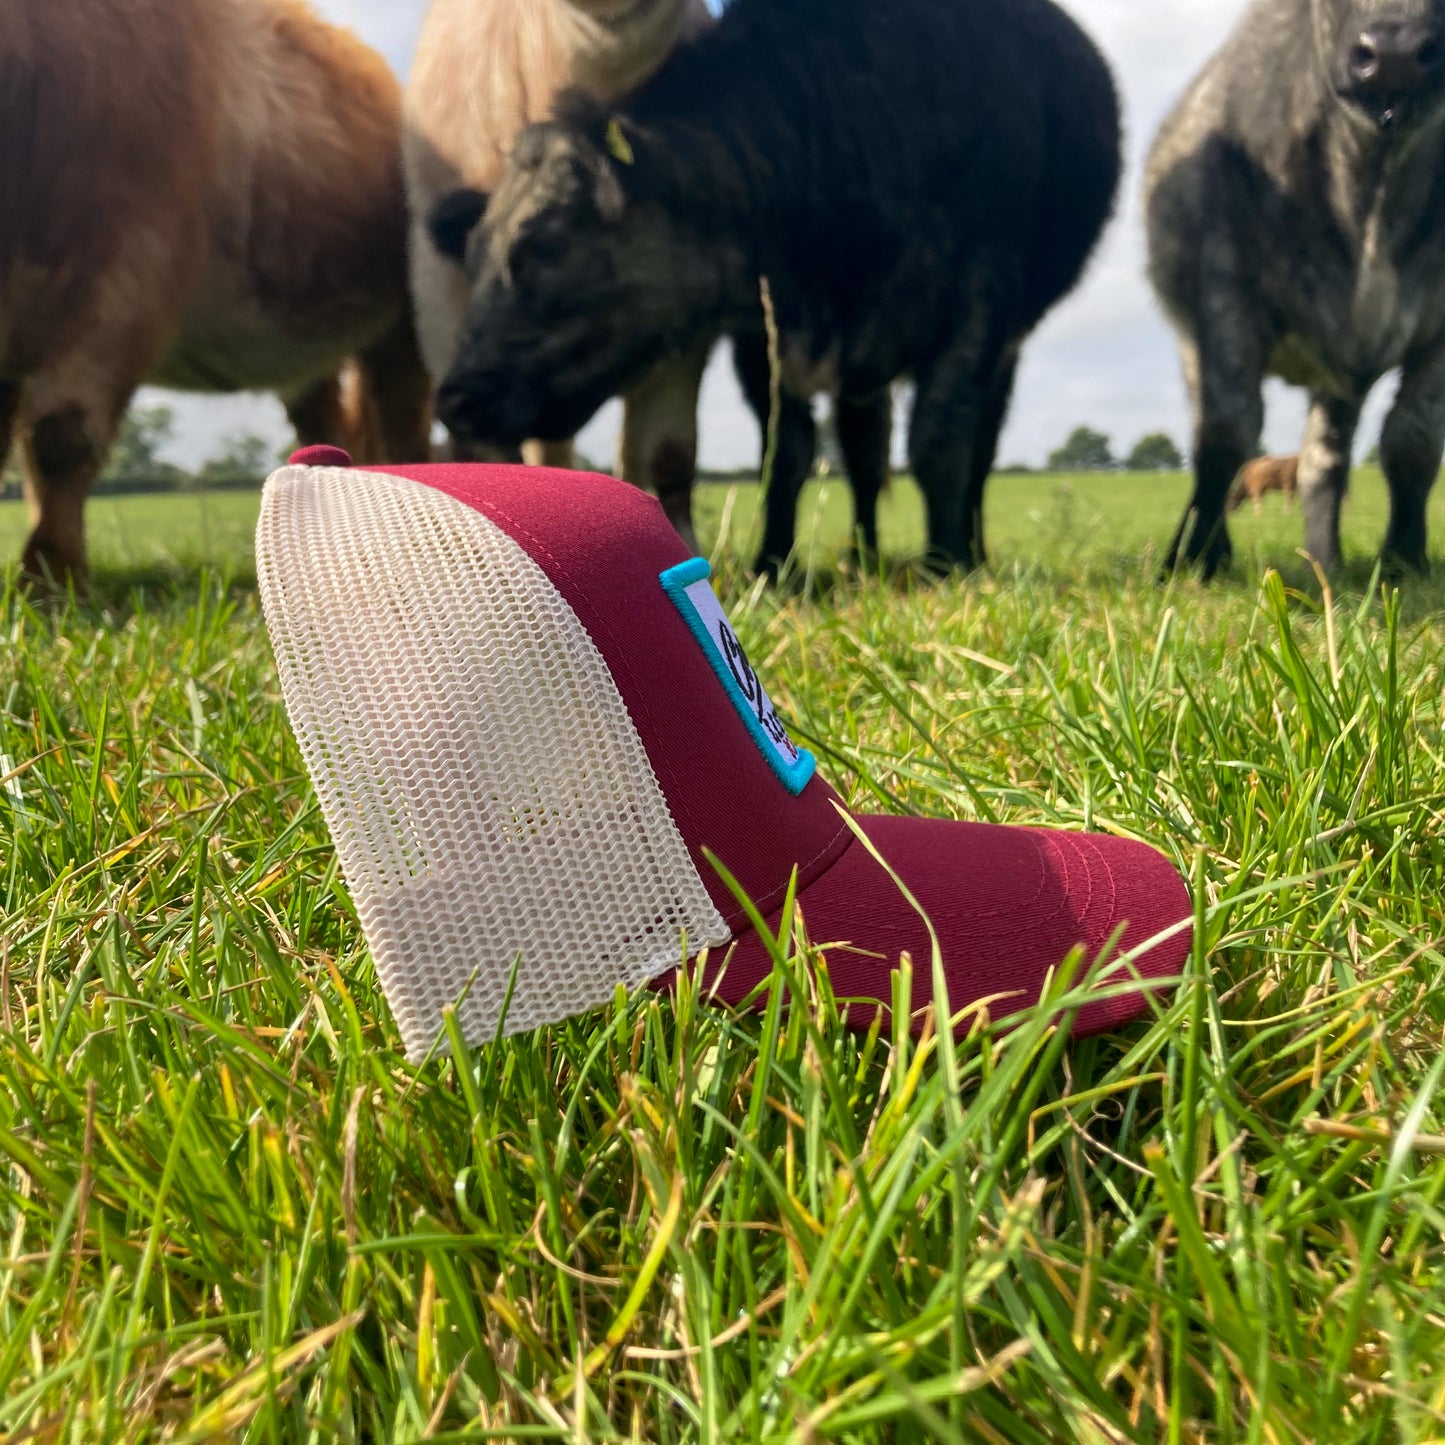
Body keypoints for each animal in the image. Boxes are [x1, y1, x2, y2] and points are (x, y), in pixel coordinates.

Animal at [421, 0, 1121, 572]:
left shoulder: (976, 299)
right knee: (862, 454)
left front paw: (945, 565)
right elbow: (786, 452)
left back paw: (965, 550)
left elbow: (939, 442)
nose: (455, 399)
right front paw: (774, 565)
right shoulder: (764, 334)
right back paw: (863, 557)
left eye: (543, 246)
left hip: (1006, 346)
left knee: (977, 449)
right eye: (472, 254)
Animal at [1150, 0, 1445, 575]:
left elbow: (1413, 442)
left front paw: (1405, 558)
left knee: (1322, 461)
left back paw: (1323, 560)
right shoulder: (1225, 290)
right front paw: (1198, 557)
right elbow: (1225, 433)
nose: (1395, 54)